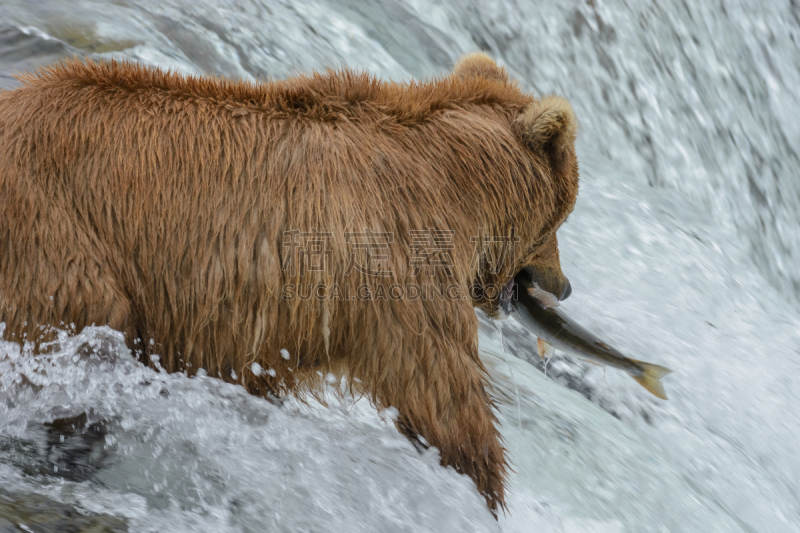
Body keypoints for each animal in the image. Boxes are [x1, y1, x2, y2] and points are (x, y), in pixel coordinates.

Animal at [0, 53, 580, 512]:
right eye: (563, 213)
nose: (564, 284)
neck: (459, 188)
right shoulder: (400, 268)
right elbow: (445, 395)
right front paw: (482, 487)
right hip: (58, 240)